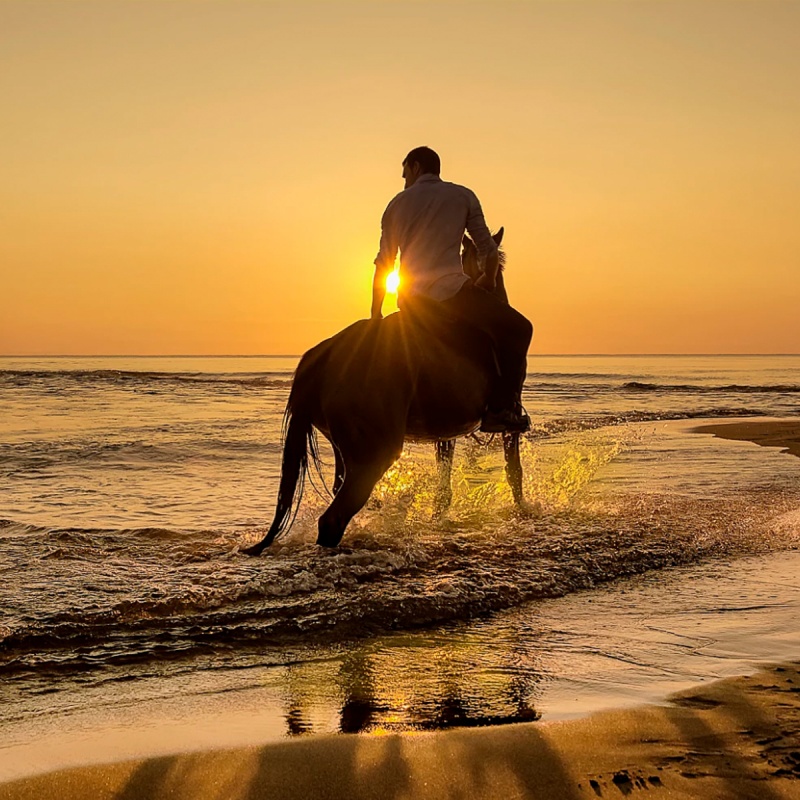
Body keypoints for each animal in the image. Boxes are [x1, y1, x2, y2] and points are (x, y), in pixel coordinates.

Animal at [245, 228, 532, 552]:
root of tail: (323, 355)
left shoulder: (445, 432)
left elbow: (445, 480)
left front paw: (439, 517)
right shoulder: (508, 420)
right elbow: (514, 473)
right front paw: (522, 512)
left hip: (345, 448)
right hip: (375, 451)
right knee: (333, 518)